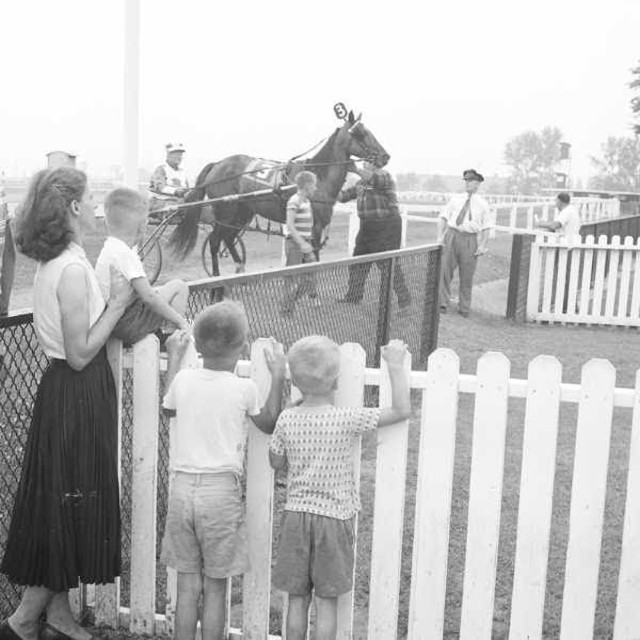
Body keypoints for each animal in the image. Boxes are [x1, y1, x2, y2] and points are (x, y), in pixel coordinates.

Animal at [169, 107, 390, 276]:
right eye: (361, 133)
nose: (385, 156)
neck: (318, 176)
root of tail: (217, 164)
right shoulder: (315, 226)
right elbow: (312, 258)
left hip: (242, 212)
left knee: (228, 239)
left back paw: (240, 267)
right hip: (226, 212)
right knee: (216, 241)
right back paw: (216, 275)